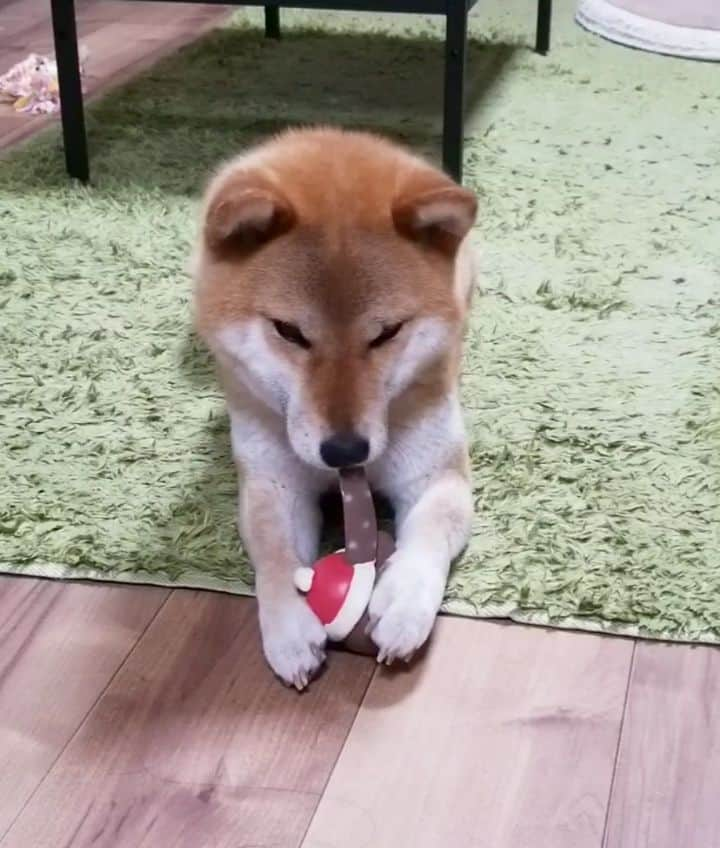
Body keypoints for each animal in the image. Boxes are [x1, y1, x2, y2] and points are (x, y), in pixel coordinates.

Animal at [193, 127, 478, 688]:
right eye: (289, 331)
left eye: (386, 333)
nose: (345, 450)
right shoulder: (272, 482)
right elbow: (275, 555)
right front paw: (288, 627)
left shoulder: (437, 475)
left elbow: (433, 530)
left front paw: (404, 603)